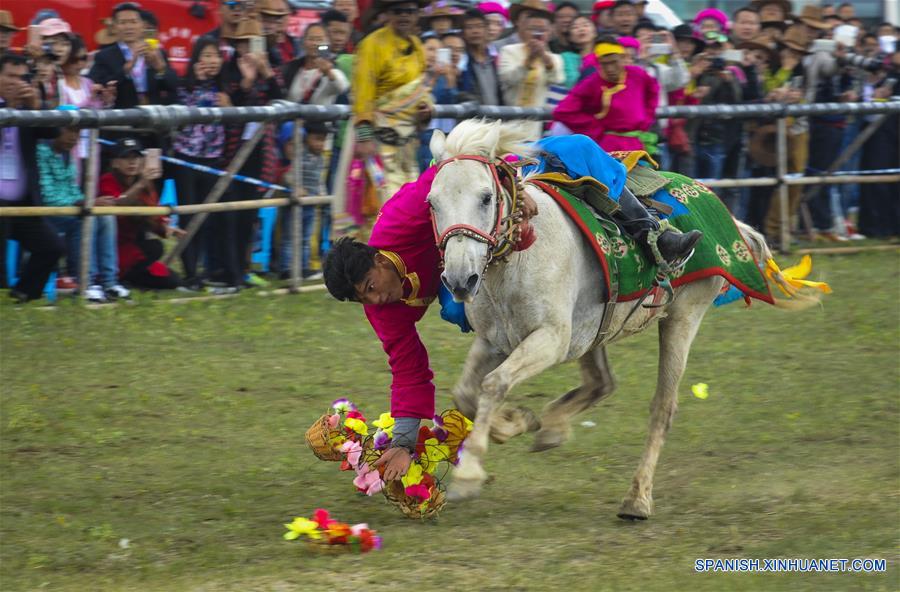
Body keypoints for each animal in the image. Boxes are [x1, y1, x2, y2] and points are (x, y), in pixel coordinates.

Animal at [428, 119, 816, 520]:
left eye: (485, 197)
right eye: (432, 202)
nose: (460, 279)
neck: (522, 254)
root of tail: (728, 216)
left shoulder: (550, 339)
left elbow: (493, 384)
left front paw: (469, 474)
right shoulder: (494, 340)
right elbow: (467, 391)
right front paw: (516, 422)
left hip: (682, 317)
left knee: (662, 407)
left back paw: (637, 498)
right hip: (596, 329)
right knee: (602, 382)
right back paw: (552, 427)